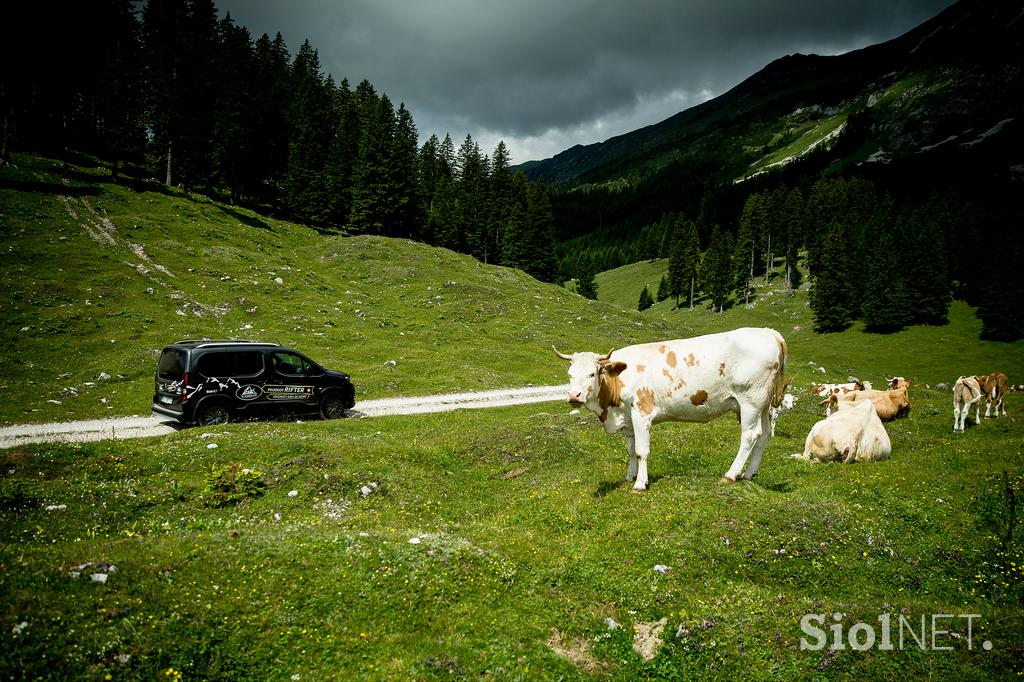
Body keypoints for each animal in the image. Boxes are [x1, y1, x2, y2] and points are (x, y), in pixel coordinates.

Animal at [557, 325, 786, 489]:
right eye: (569, 374)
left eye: (592, 373)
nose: (574, 395)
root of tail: (770, 333)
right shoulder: (628, 420)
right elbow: (630, 450)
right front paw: (630, 476)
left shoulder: (641, 412)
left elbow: (641, 451)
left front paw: (640, 484)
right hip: (763, 404)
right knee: (764, 434)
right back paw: (749, 474)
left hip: (750, 400)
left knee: (749, 435)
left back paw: (731, 475)